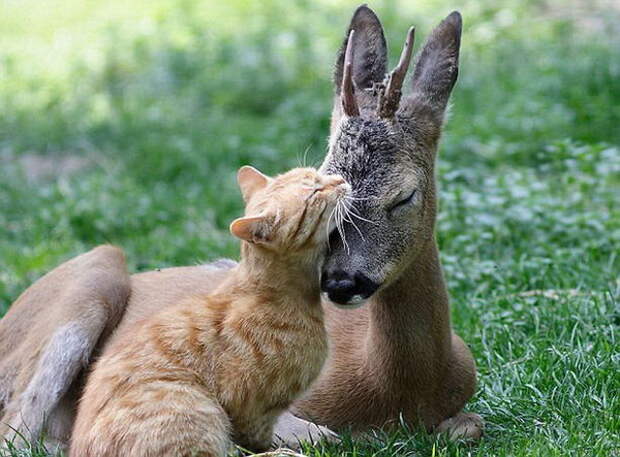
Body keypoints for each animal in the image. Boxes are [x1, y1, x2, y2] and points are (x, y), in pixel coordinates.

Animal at [69, 165, 348, 456]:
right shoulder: (251, 409)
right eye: (314, 192)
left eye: (316, 174)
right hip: (196, 407)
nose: (341, 180)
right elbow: (257, 440)